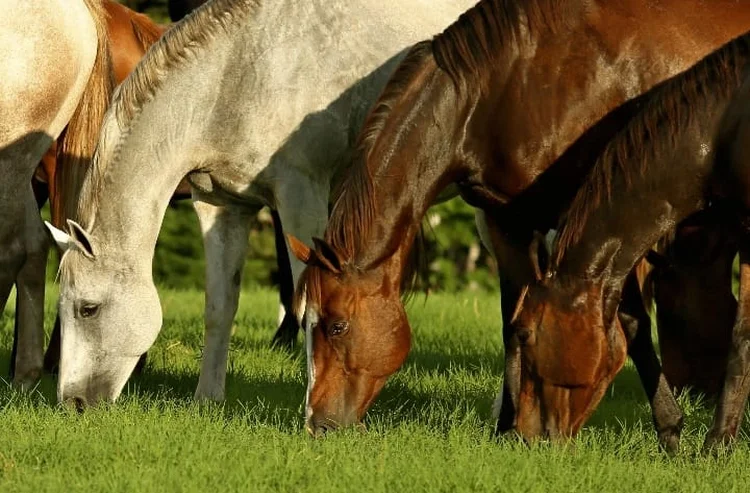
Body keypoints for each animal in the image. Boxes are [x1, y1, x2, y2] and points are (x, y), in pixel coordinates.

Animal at [44, 0, 476, 406]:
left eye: (87, 309)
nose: (73, 403)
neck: (241, 74)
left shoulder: (301, 197)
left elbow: (310, 305)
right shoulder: (223, 206)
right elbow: (219, 307)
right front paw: (207, 399)